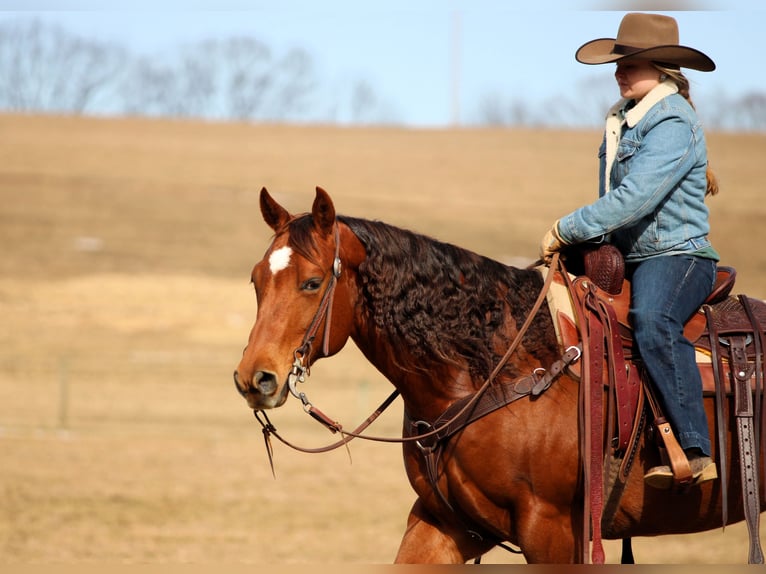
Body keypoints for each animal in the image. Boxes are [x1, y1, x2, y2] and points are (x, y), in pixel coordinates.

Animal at [233, 186, 765, 563]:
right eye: (256, 280)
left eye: (312, 282)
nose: (254, 379)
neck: (493, 367)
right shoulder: (444, 522)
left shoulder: (552, 527)